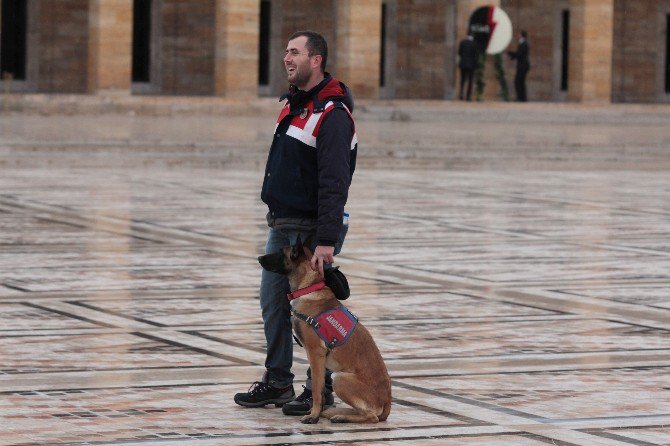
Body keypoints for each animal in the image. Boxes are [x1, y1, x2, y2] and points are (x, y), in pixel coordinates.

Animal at [258, 235, 394, 424]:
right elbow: (320, 389)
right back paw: (334, 413)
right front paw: (316, 412)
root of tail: (387, 400)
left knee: (371, 416)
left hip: (340, 378)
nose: (258, 258)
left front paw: (313, 415)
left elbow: (316, 389)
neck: (309, 287)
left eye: (279, 252)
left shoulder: (316, 354)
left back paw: (340, 417)